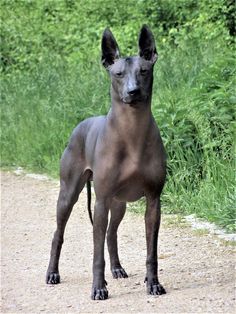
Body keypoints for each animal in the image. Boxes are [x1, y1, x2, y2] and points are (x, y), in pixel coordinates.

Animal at [46, 24, 166, 300]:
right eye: (118, 74)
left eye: (144, 71)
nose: (133, 92)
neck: (132, 133)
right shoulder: (100, 202)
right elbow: (96, 253)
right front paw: (98, 287)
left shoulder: (154, 200)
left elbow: (151, 251)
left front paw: (153, 283)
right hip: (69, 194)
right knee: (59, 233)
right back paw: (53, 273)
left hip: (118, 203)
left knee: (112, 234)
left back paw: (117, 268)